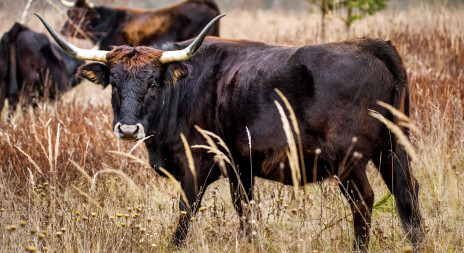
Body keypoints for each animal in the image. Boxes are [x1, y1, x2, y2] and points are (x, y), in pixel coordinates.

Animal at [38, 12, 426, 250]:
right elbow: (246, 215)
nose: (129, 128)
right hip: (393, 150)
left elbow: (184, 217)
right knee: (408, 197)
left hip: (348, 159)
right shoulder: (242, 169)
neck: (182, 91)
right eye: (114, 84)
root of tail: (370, 44)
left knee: (364, 201)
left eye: (152, 83)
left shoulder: (196, 167)